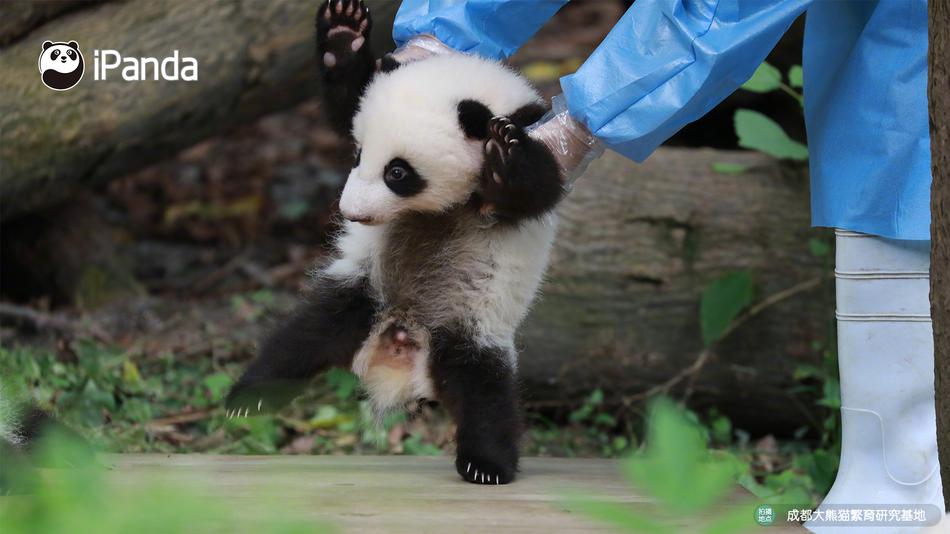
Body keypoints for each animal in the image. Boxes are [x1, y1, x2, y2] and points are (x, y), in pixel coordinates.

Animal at [223, 0, 564, 486]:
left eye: (398, 173)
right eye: (358, 154)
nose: (350, 211)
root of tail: (402, 335)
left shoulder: (538, 134)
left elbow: (540, 188)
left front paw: (505, 153)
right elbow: (347, 104)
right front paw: (343, 33)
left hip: (471, 326)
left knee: (485, 393)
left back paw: (487, 463)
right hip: (361, 293)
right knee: (299, 341)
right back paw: (251, 396)